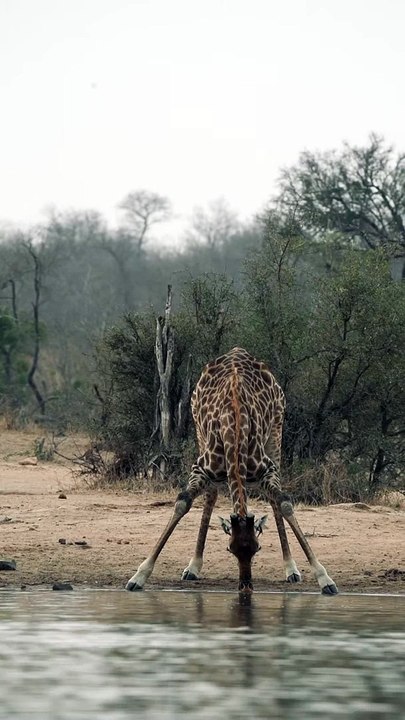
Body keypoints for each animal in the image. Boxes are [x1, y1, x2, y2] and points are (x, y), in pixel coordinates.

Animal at [126, 347, 338, 595]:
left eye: (257, 548)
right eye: (231, 549)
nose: (246, 587)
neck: (234, 430)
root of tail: (237, 351)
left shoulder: (267, 469)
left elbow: (284, 503)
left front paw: (324, 577)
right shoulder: (200, 468)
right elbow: (182, 503)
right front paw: (139, 575)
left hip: (276, 430)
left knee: (273, 501)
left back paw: (290, 569)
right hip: (199, 432)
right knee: (211, 496)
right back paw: (193, 566)